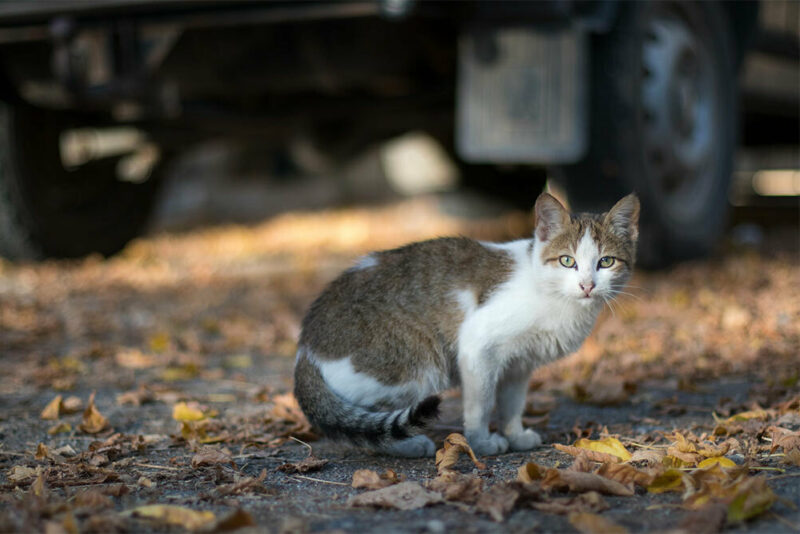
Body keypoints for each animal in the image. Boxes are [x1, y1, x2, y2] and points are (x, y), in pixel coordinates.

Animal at [292, 195, 636, 458]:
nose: (587, 285)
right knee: (368, 421)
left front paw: (515, 435)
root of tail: (305, 348)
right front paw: (481, 443)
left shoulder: (520, 365)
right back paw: (409, 445)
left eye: (606, 262)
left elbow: (512, 404)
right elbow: (480, 406)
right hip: (419, 364)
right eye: (567, 261)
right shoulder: (477, 348)